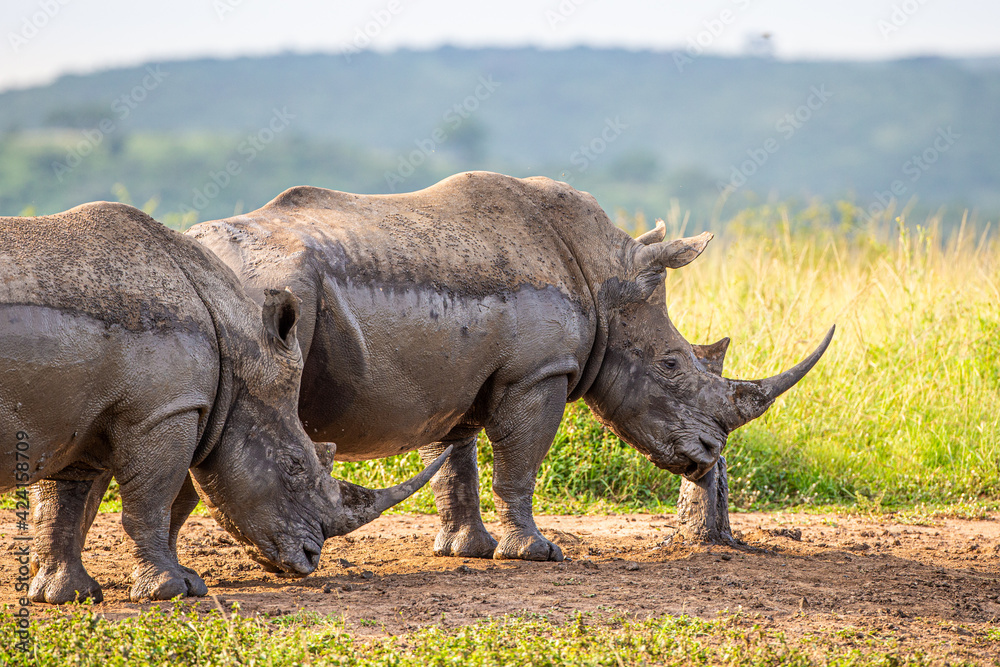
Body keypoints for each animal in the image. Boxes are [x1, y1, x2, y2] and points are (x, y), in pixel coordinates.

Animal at [0, 202, 449, 604]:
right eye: (294, 466)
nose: (310, 558)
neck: (236, 350)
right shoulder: (164, 410)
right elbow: (150, 503)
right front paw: (171, 592)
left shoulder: (77, 413)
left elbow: (63, 504)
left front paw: (67, 595)